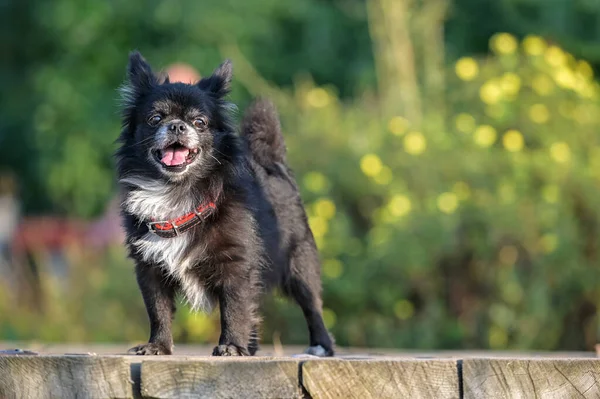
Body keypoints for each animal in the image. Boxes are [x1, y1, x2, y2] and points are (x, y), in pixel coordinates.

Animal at [115, 51, 336, 358]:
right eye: (155, 118)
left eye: (200, 122)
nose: (176, 125)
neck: (178, 192)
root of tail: (272, 163)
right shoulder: (150, 269)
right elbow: (158, 310)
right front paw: (158, 345)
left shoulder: (237, 265)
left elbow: (234, 307)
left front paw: (231, 345)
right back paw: (250, 348)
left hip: (300, 265)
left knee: (312, 306)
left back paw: (320, 346)